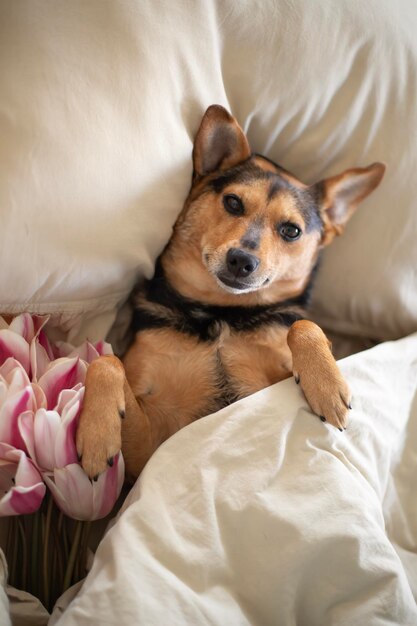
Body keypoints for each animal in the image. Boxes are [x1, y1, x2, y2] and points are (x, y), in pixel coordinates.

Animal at [77, 106, 384, 478]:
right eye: (233, 203)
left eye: (292, 231)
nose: (242, 260)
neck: (221, 313)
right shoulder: (147, 449)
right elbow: (105, 360)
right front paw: (96, 436)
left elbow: (303, 325)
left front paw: (327, 386)